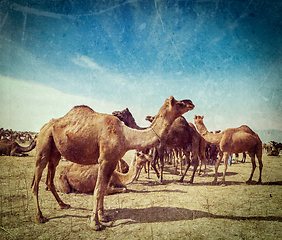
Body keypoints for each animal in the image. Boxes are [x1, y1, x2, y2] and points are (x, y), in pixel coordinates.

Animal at [30, 95, 194, 231]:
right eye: (178, 102)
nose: (191, 102)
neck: (126, 136)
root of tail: (44, 127)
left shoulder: (113, 160)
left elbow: (103, 188)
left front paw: (103, 217)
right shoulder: (105, 160)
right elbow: (97, 189)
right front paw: (95, 223)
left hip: (55, 152)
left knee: (50, 178)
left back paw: (63, 204)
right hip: (43, 145)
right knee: (36, 181)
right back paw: (39, 217)